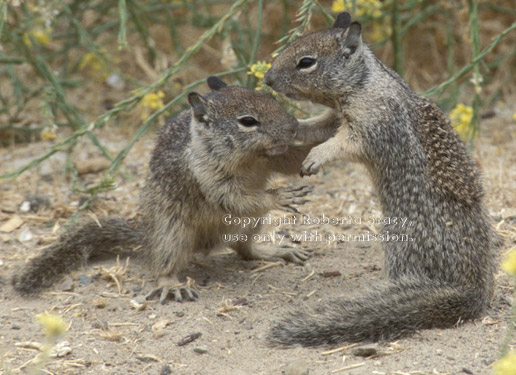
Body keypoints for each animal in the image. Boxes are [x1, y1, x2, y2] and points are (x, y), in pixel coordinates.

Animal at [12, 78, 316, 304]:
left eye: (272, 99)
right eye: (248, 121)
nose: (292, 126)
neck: (251, 158)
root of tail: (146, 233)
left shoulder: (275, 158)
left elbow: (293, 162)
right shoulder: (210, 178)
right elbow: (234, 199)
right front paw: (279, 195)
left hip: (252, 223)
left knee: (243, 248)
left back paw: (274, 251)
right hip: (173, 232)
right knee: (164, 263)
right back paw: (171, 284)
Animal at [262, 11, 496, 346]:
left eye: (306, 62)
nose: (267, 79)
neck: (363, 84)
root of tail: (471, 291)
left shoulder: (374, 124)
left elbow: (344, 144)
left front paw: (316, 156)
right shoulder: (334, 117)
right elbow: (316, 126)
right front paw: (295, 126)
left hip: (401, 242)